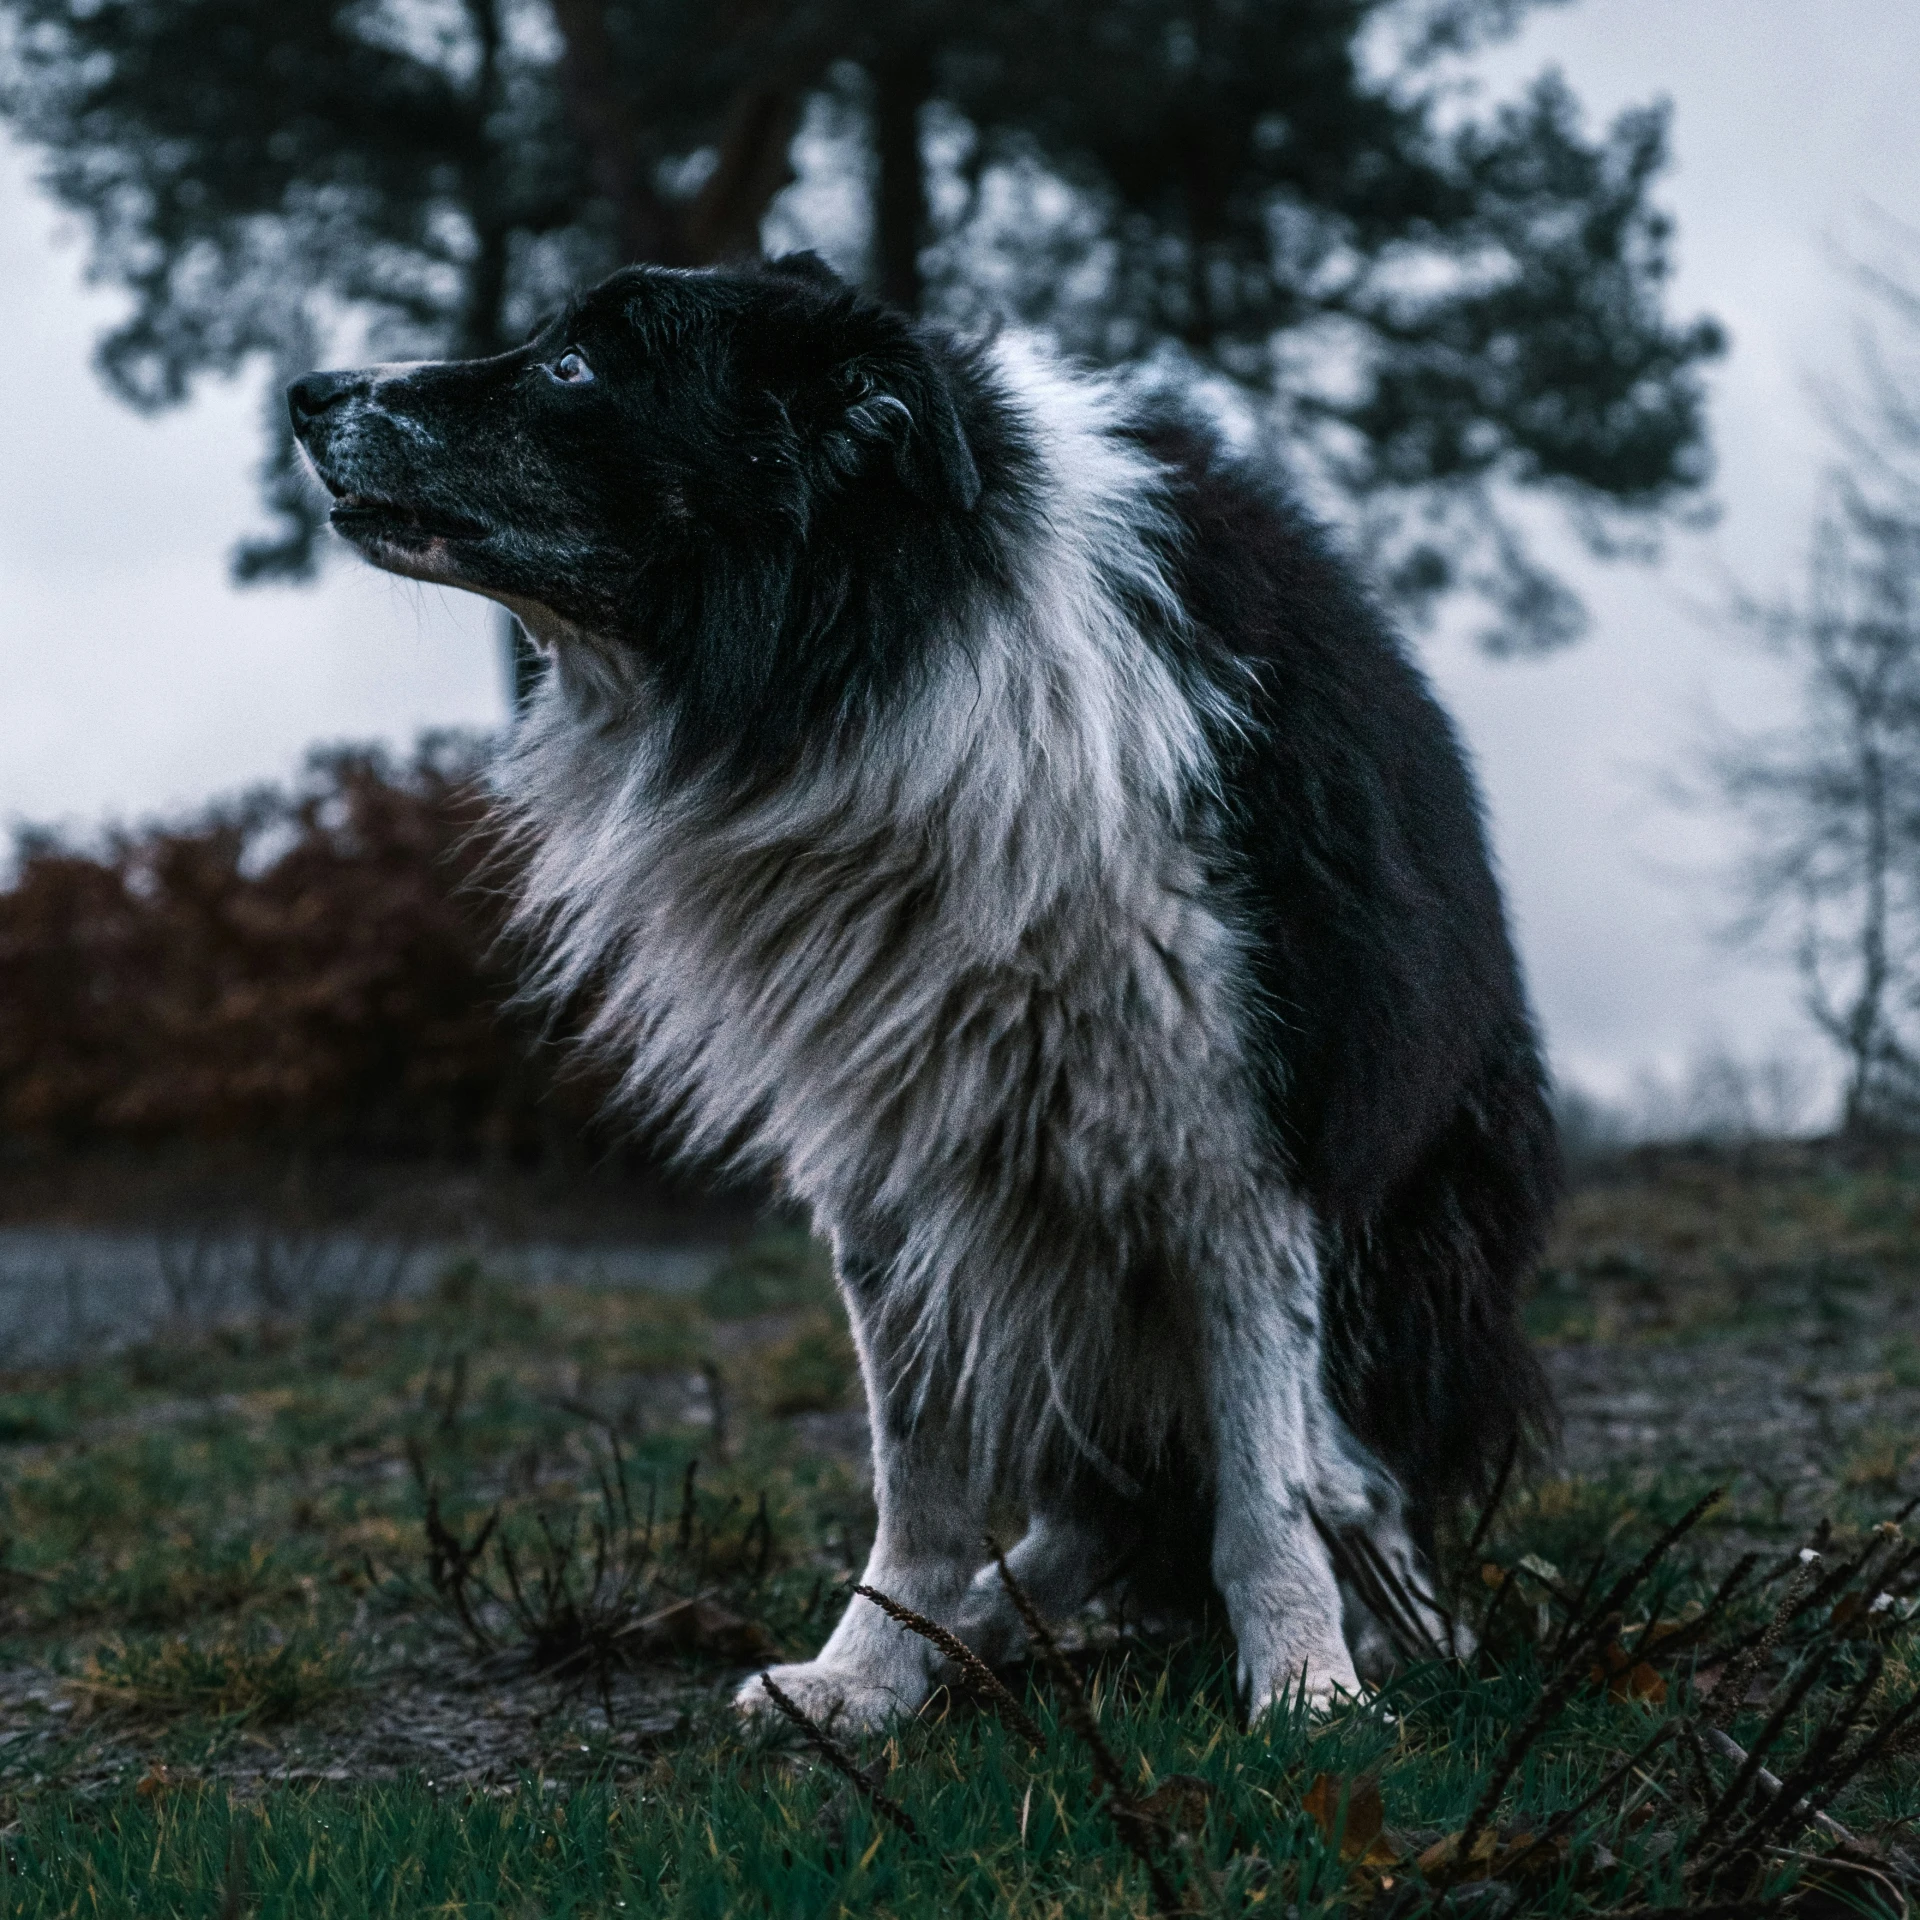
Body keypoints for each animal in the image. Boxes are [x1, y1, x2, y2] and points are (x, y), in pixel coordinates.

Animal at [295, 255, 1559, 1728]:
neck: (878, 634)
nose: (307, 391)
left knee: (1345, 1470)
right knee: (1103, 1509)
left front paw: (1308, 1691)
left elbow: (1267, 1485)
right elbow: (922, 1482)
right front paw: (870, 1672)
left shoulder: (1234, 1150)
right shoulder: (893, 1145)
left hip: (1411, 1256)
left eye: (576, 367)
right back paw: (998, 1632)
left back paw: (1403, 1617)